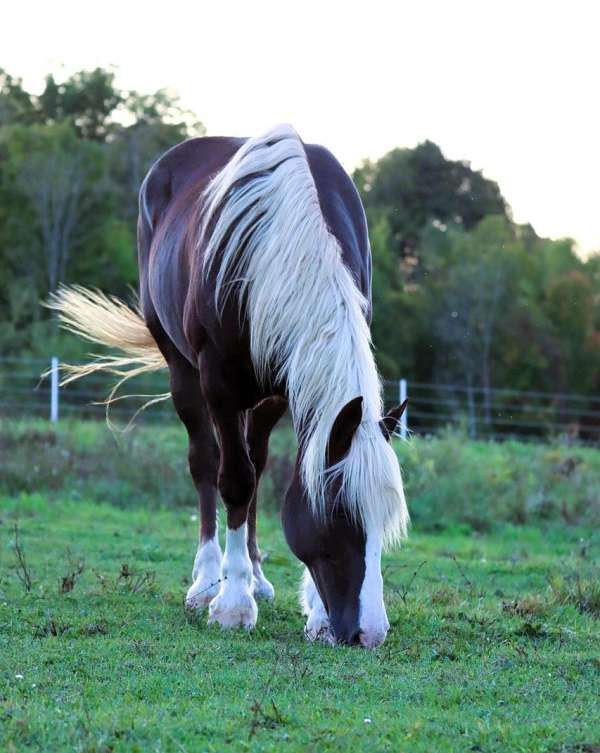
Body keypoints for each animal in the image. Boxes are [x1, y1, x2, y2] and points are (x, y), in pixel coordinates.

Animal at [49, 125, 410, 648]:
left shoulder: (283, 390)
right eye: (340, 515)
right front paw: (232, 604)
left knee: (255, 462)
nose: (370, 633)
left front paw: (313, 613)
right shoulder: (217, 381)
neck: (283, 247)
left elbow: (272, 474)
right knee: (206, 463)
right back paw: (205, 582)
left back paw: (256, 577)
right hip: (183, 370)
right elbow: (234, 480)